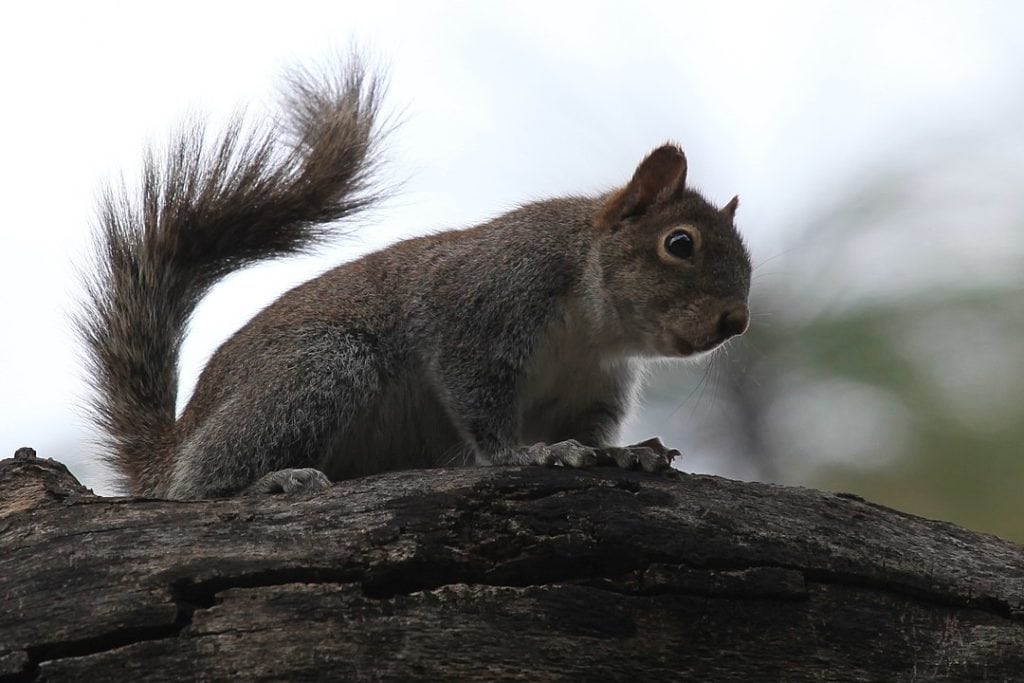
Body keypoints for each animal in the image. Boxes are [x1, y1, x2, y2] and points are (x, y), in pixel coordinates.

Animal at [76, 56, 752, 499]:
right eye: (679, 243)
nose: (736, 321)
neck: (591, 326)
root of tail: (168, 453)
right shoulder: (481, 311)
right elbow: (481, 406)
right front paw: (532, 452)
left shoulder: (594, 384)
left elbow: (591, 427)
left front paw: (624, 452)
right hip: (316, 368)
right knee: (202, 486)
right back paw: (272, 479)